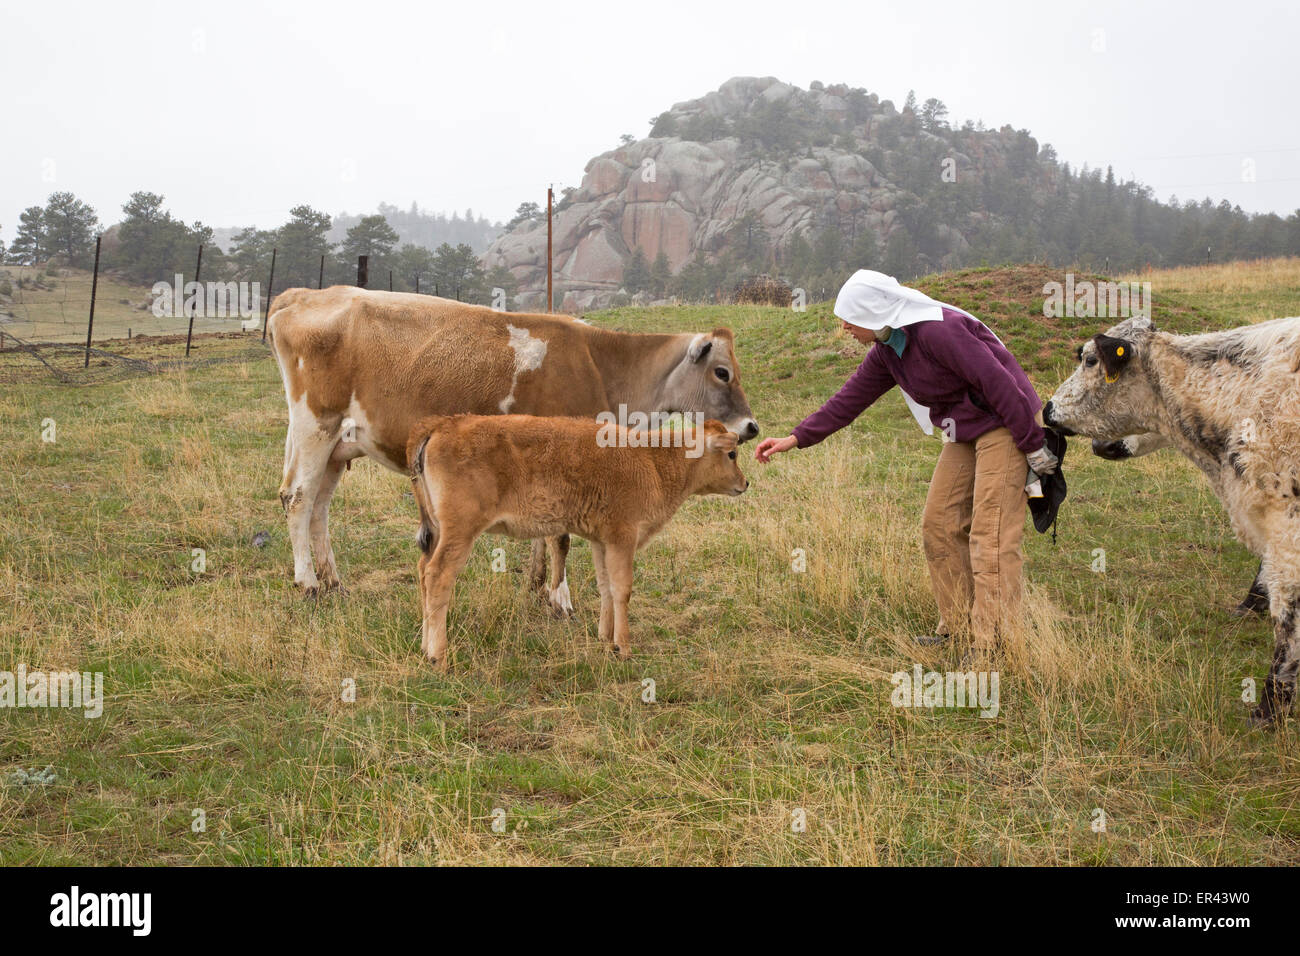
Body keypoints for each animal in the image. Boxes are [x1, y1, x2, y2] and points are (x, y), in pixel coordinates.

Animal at [266, 287, 754, 608]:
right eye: (722, 372)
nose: (751, 427)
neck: (602, 364)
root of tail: (304, 294)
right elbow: (560, 535)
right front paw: (561, 599)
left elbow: (546, 529)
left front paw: (537, 585)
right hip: (316, 424)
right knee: (298, 497)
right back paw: (308, 583)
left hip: (338, 444)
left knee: (319, 508)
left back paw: (333, 581)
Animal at [405, 416, 754, 671]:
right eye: (732, 454)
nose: (745, 482)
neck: (653, 460)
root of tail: (440, 426)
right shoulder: (623, 537)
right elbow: (623, 589)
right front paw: (625, 648)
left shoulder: (602, 541)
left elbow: (606, 587)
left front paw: (606, 640)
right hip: (460, 532)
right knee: (438, 576)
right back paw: (439, 656)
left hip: (440, 531)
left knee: (423, 570)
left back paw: (424, 646)